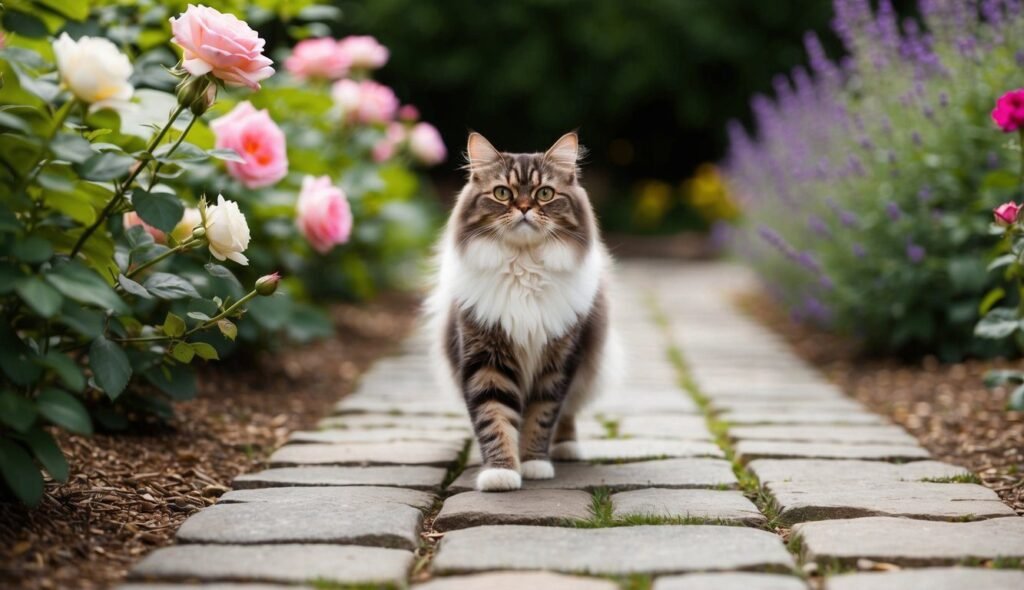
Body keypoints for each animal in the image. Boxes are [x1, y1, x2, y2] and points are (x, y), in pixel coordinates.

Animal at [428, 131, 618, 491]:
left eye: (545, 193)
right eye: (503, 193)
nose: (525, 208)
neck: (523, 267)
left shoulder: (557, 361)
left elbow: (542, 417)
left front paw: (533, 463)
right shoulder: (485, 360)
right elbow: (494, 418)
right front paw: (501, 472)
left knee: (568, 414)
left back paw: (567, 448)